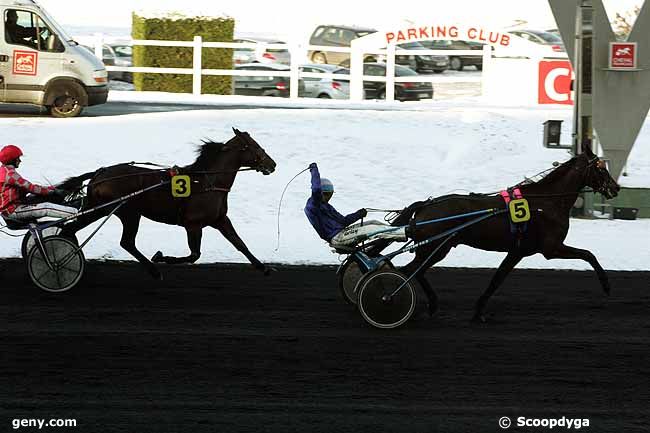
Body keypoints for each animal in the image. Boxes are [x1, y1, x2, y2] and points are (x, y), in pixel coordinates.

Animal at [57, 126, 276, 278]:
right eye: (255, 146)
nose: (272, 164)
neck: (208, 182)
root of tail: (100, 173)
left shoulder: (220, 220)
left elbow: (240, 244)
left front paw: (263, 267)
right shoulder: (193, 224)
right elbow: (194, 255)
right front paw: (163, 258)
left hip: (99, 209)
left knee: (70, 229)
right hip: (127, 213)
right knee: (126, 242)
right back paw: (154, 271)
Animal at [388, 140, 620, 322]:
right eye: (600, 167)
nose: (616, 188)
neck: (546, 202)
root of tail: (425, 205)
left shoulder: (517, 251)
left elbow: (497, 279)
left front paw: (478, 311)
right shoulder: (551, 248)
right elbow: (588, 254)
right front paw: (607, 285)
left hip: (435, 249)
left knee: (416, 272)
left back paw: (432, 304)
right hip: (435, 248)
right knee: (407, 272)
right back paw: (392, 300)